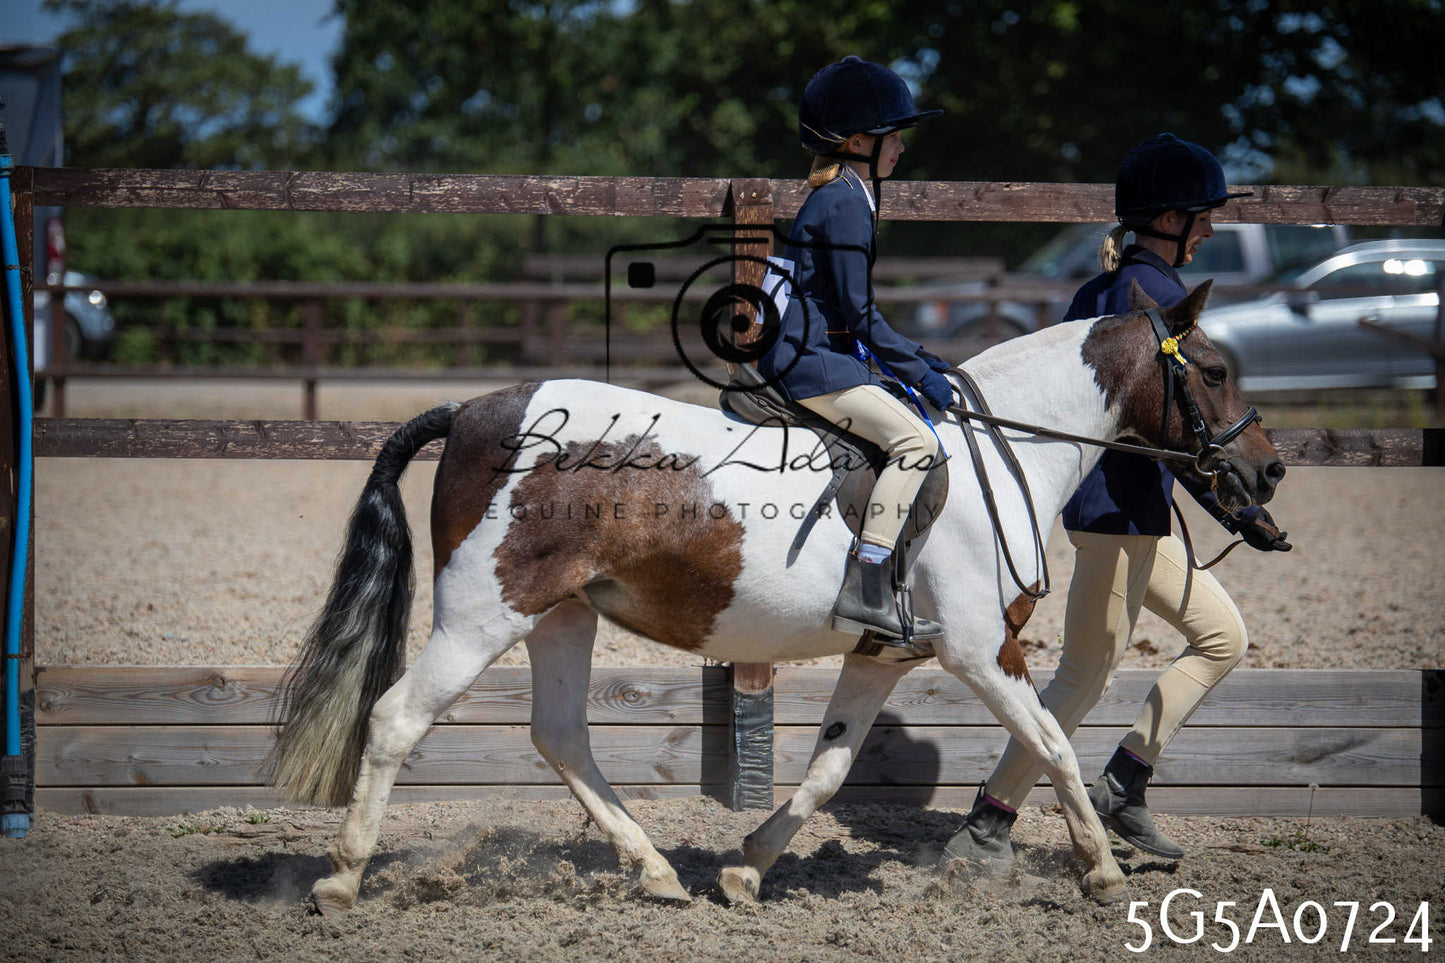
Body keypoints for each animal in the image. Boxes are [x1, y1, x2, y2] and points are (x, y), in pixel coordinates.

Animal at [267, 280, 1284, 913]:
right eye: (1215, 370)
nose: (1268, 470)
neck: (1003, 451)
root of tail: (476, 408)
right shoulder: (975, 648)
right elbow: (1052, 745)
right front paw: (1104, 876)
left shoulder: (883, 653)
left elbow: (830, 765)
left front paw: (748, 870)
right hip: (486, 611)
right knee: (397, 717)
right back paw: (341, 883)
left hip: (562, 614)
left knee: (559, 735)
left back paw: (655, 873)